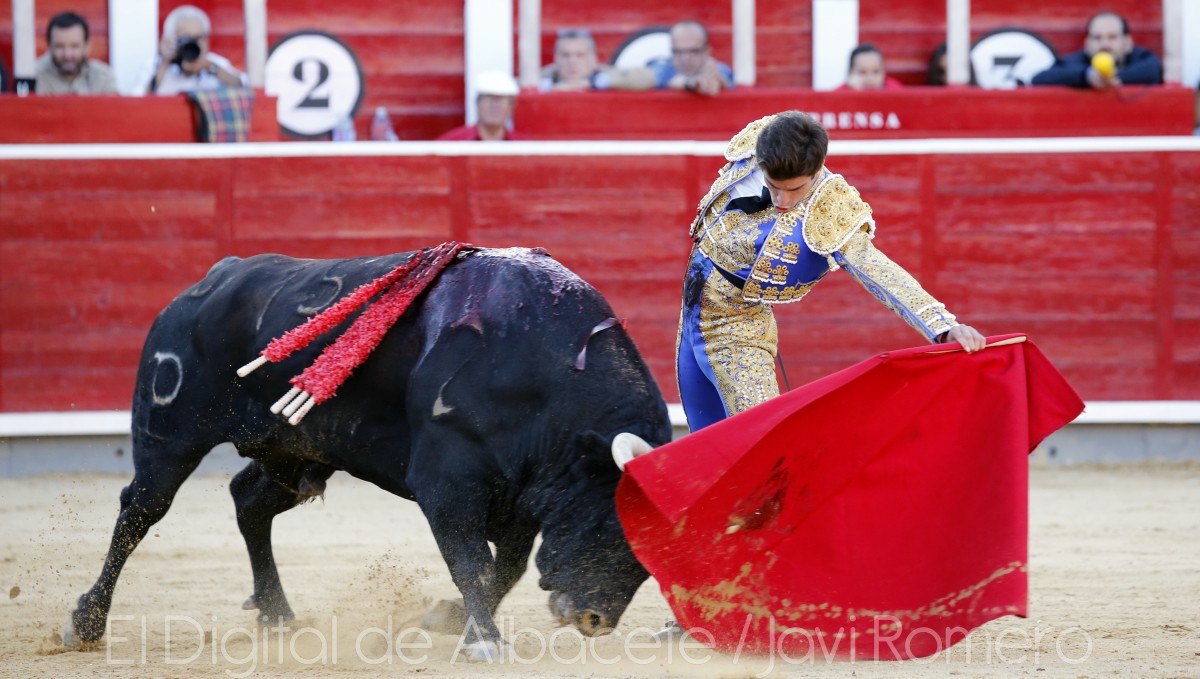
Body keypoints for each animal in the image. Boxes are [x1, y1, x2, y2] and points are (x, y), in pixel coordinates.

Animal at [65, 245, 676, 662]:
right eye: (614, 522)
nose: (597, 620)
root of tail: (215, 277)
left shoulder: (524, 492)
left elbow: (507, 568)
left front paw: (451, 620)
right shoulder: (448, 483)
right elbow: (473, 563)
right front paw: (482, 641)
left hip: (297, 452)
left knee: (248, 501)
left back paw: (277, 612)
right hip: (169, 437)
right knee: (140, 511)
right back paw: (86, 623)